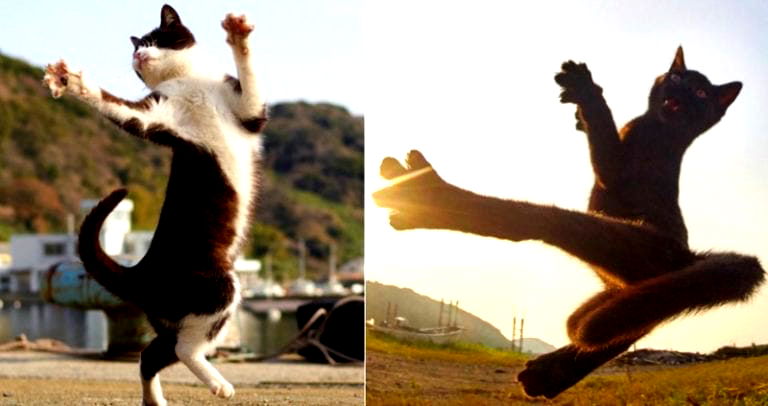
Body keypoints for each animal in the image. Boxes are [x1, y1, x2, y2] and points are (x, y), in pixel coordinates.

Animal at [46, 3, 268, 406]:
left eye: (155, 39)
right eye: (137, 49)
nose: (139, 54)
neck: (189, 82)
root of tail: (141, 272)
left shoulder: (248, 109)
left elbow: (249, 73)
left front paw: (238, 34)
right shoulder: (155, 117)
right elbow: (116, 106)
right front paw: (72, 83)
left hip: (178, 312)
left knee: (153, 355)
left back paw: (158, 399)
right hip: (218, 287)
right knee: (182, 349)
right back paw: (218, 384)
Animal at [372, 48, 760, 400]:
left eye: (701, 93)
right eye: (677, 77)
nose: (679, 90)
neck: (660, 128)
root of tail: (689, 256)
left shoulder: (618, 168)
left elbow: (604, 132)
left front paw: (585, 90)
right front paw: (578, 113)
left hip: (633, 248)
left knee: (530, 223)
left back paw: (429, 196)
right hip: (635, 290)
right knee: (630, 326)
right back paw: (548, 375)